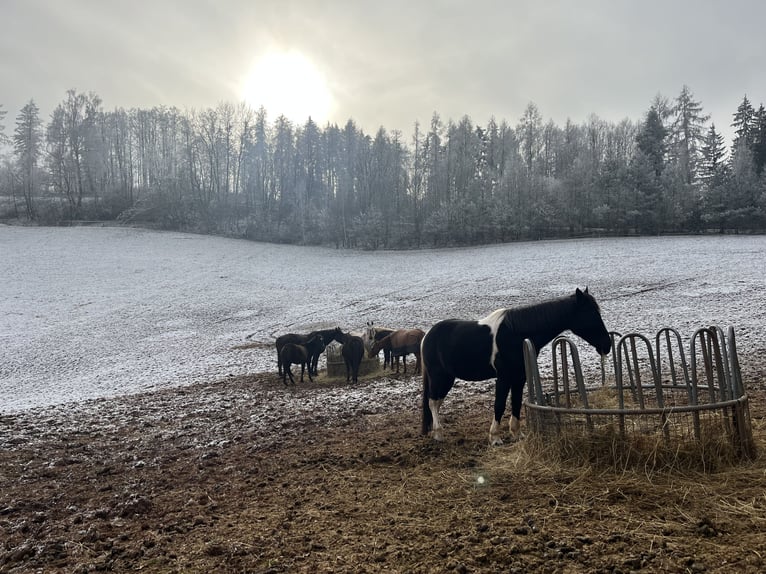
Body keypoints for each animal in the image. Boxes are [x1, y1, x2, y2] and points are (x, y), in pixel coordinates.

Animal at [421, 288, 611, 445]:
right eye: (590, 313)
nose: (607, 345)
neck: (515, 334)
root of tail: (427, 336)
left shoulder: (520, 378)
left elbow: (516, 402)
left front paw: (516, 433)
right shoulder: (504, 378)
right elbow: (499, 404)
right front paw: (495, 437)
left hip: (447, 378)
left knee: (436, 402)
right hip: (439, 377)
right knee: (433, 402)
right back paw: (438, 434)